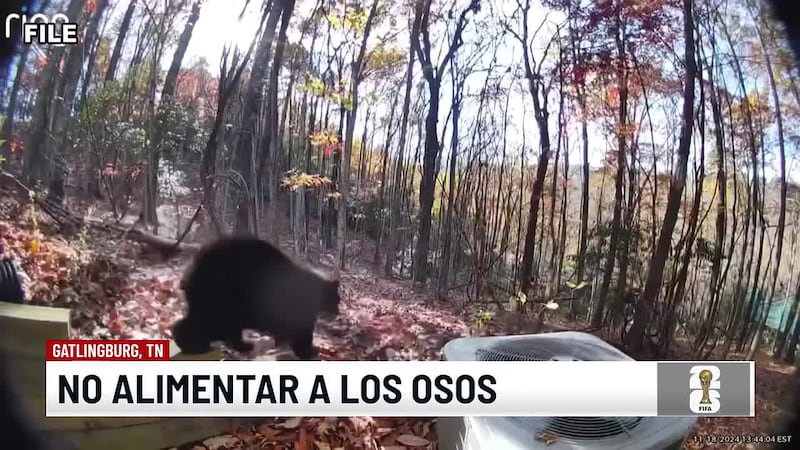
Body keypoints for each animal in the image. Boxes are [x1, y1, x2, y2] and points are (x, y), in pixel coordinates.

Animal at [171, 236, 341, 359]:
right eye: (337, 300)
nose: (338, 312)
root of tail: (192, 266)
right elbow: (302, 333)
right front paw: (308, 352)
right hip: (222, 299)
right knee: (214, 323)